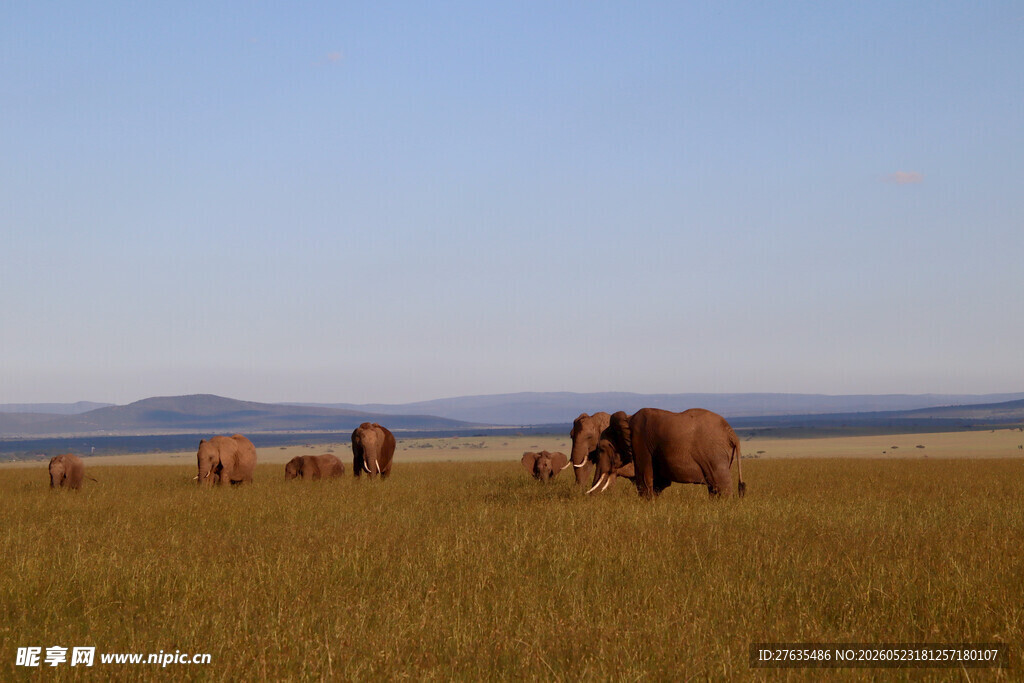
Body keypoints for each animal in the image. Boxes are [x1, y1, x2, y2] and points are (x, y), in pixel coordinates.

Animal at [589, 408, 745, 499]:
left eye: (602, 449)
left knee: (721, 486)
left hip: (714, 456)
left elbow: (644, 479)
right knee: (714, 488)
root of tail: (732, 434)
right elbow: (659, 483)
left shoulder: (640, 442)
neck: (628, 419)